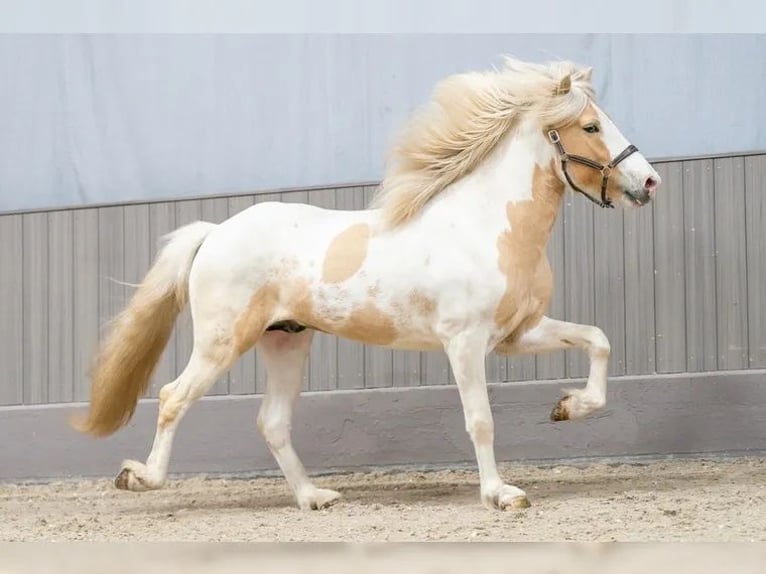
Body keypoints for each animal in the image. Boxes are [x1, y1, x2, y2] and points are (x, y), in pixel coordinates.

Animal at [70, 57, 660, 512]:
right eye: (591, 127)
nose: (649, 182)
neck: (486, 224)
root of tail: (215, 232)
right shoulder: (465, 342)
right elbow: (481, 420)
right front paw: (502, 495)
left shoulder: (517, 334)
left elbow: (598, 340)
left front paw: (568, 407)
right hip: (223, 341)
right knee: (174, 397)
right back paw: (138, 478)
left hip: (286, 339)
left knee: (272, 422)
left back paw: (314, 498)